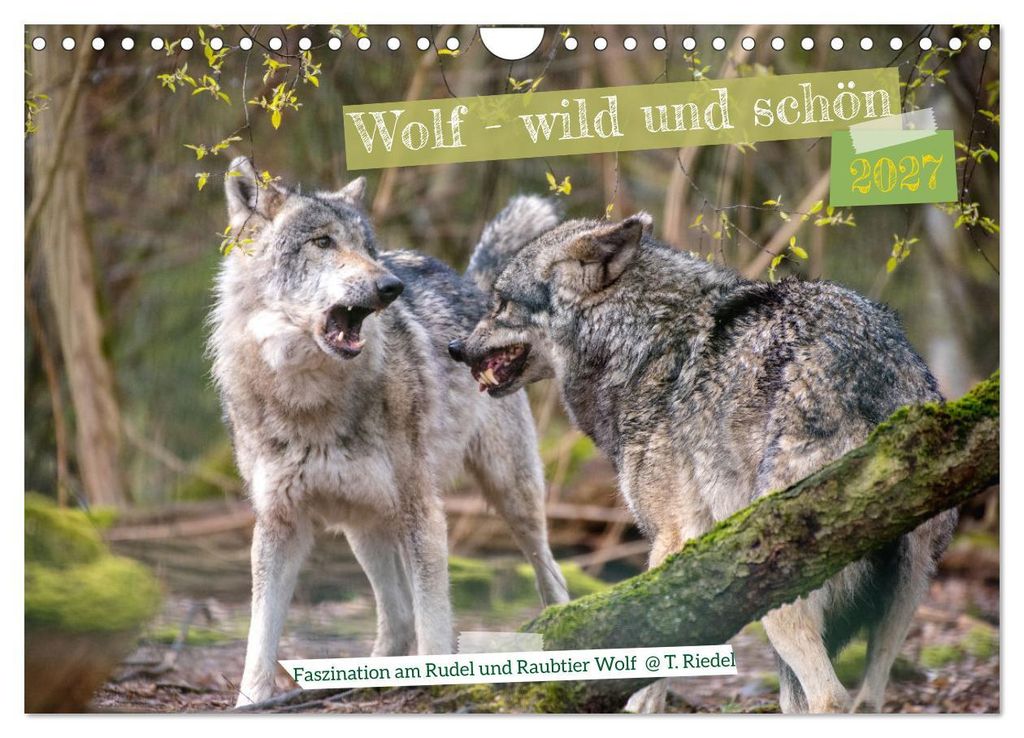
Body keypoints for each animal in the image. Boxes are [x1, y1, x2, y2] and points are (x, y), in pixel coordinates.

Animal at [209, 157, 569, 707]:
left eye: (367, 247)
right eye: (322, 242)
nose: (390, 287)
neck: (309, 401)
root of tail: (472, 285)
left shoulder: (423, 510)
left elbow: (434, 618)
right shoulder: (278, 522)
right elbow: (260, 634)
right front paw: (250, 703)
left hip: (510, 495)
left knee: (551, 574)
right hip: (365, 526)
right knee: (396, 619)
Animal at [449, 212, 957, 713]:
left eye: (500, 303)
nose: (454, 347)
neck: (639, 341)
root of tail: (876, 381)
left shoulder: (673, 542)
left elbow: (649, 679)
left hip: (781, 602)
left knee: (830, 698)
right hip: (895, 610)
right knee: (861, 699)